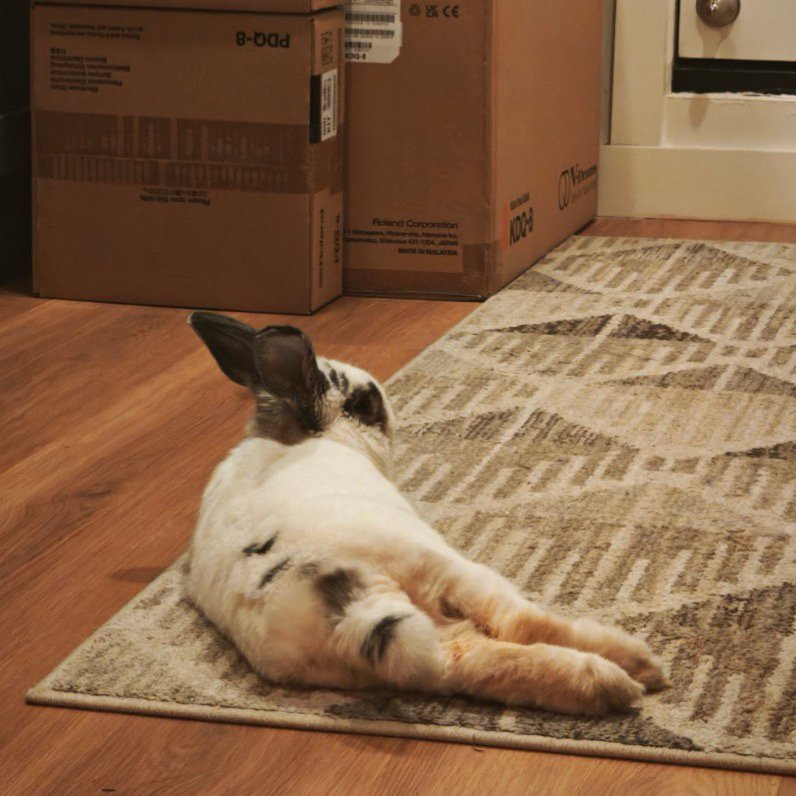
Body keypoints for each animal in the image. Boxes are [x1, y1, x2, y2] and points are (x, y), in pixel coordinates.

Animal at [185, 311, 668, 716]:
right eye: (364, 404)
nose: (390, 414)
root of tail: (348, 610)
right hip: (444, 568)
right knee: (522, 621)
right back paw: (632, 669)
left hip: (414, 648)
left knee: (467, 659)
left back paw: (608, 682)